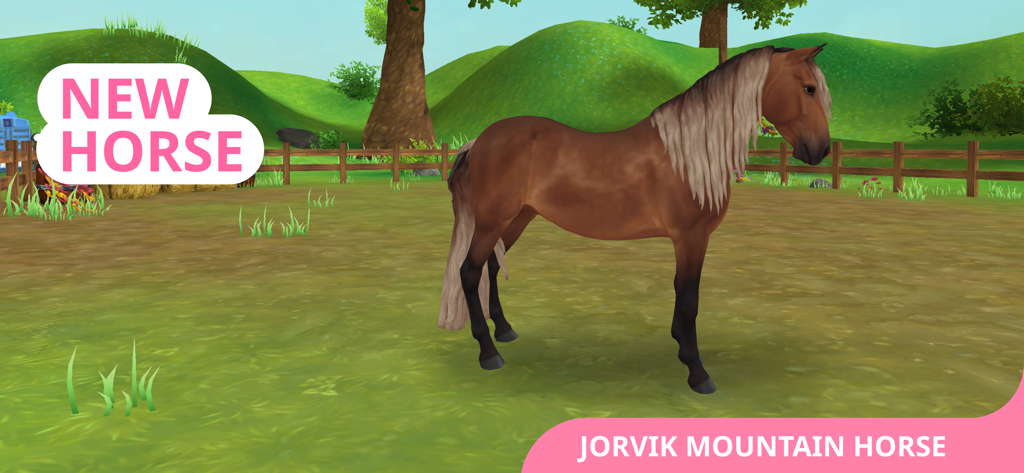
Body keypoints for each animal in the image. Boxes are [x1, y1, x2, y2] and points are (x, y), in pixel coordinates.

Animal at [438, 44, 833, 394]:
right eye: (808, 89)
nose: (821, 150)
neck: (688, 153)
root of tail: (480, 140)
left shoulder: (685, 240)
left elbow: (678, 288)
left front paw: (680, 345)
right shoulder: (691, 236)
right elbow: (689, 297)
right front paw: (697, 372)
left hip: (516, 218)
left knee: (491, 266)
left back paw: (505, 329)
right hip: (493, 221)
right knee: (469, 273)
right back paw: (489, 354)